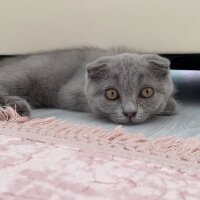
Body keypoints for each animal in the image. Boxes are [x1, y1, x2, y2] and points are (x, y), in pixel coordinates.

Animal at [0, 47, 177, 124]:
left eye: (147, 92)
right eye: (111, 94)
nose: (130, 113)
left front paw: (168, 105)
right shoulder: (70, 92)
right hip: (22, 75)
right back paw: (17, 108)